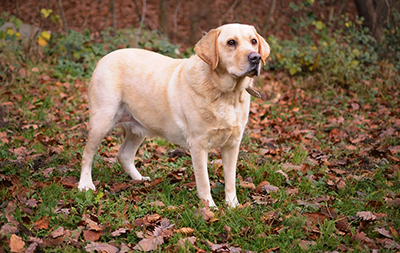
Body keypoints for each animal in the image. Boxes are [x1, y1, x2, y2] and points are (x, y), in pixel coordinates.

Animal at [78, 23, 270, 208]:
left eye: (253, 41)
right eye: (231, 42)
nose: (255, 58)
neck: (227, 95)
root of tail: (104, 58)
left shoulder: (232, 144)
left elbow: (230, 180)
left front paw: (233, 206)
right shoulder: (198, 146)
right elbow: (204, 182)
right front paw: (210, 208)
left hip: (138, 129)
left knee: (124, 154)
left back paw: (140, 179)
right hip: (102, 120)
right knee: (87, 154)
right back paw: (85, 185)